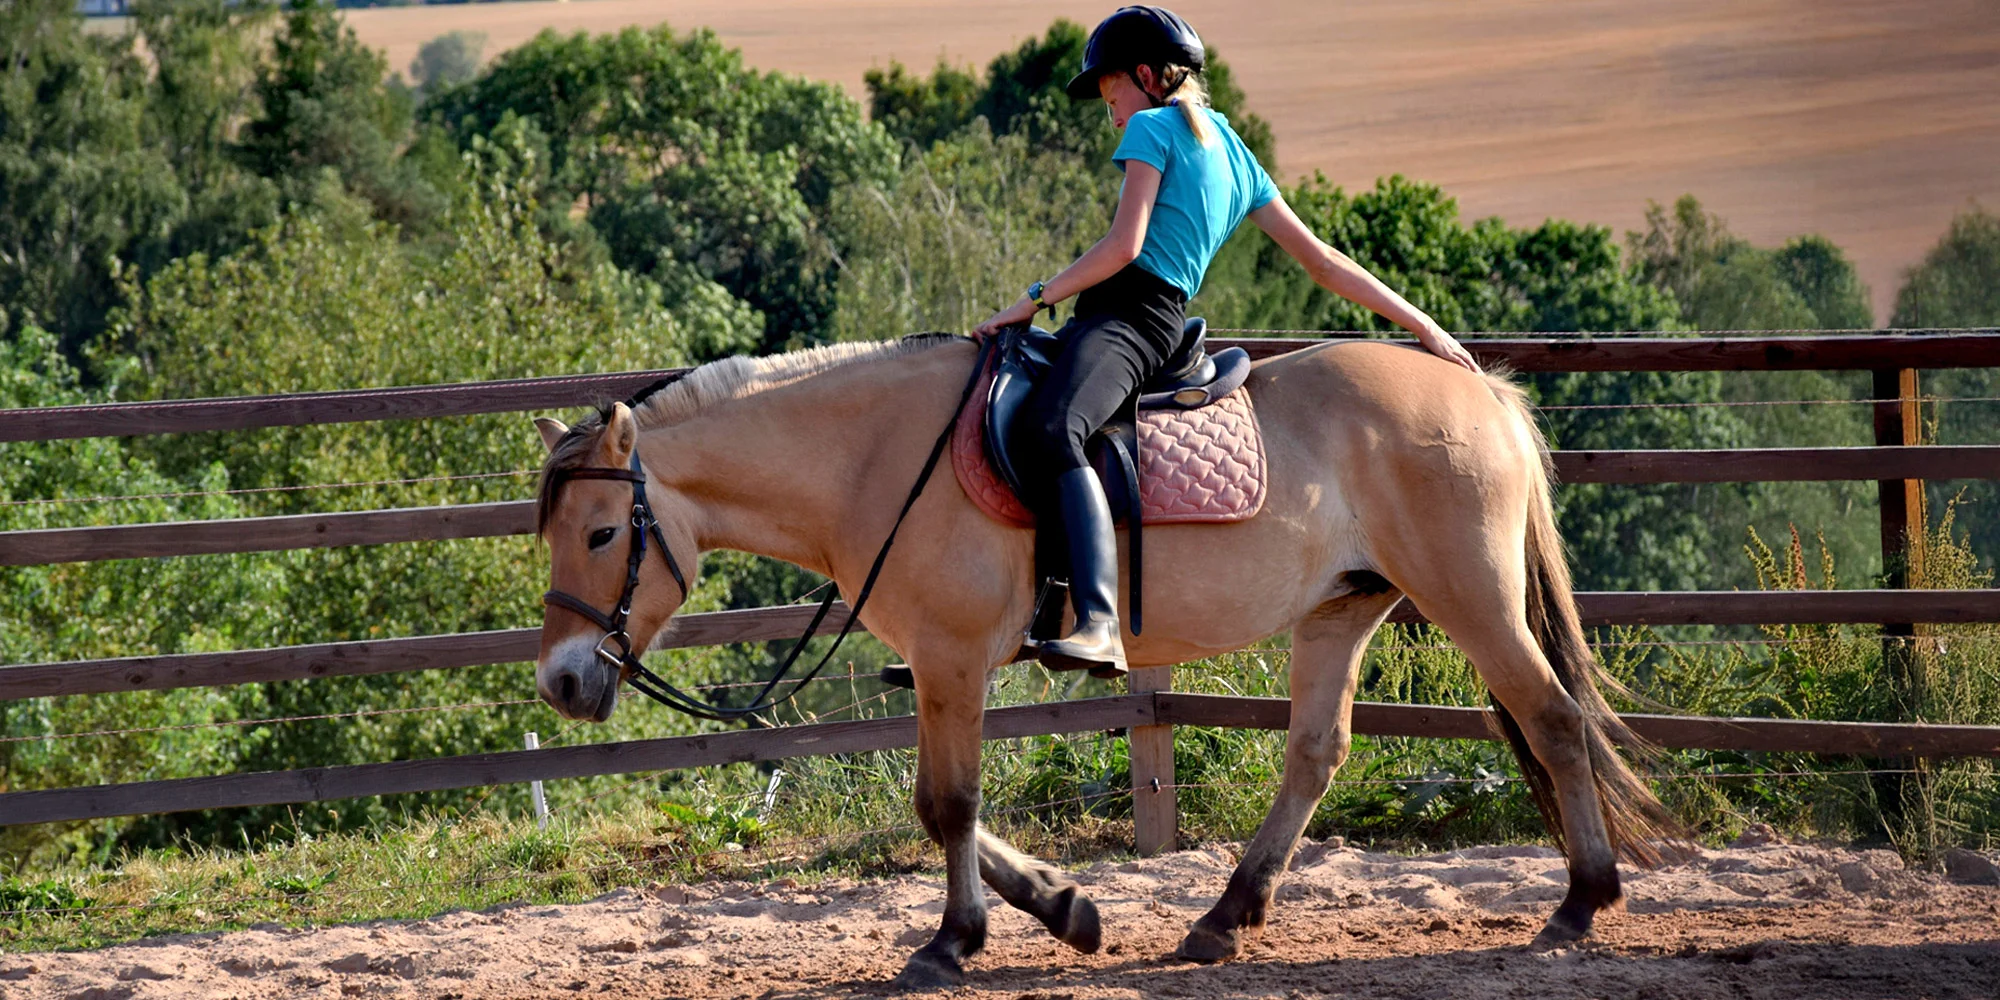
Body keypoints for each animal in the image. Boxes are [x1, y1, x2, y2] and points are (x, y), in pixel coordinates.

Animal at [528, 334, 1672, 984]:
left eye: (601, 533)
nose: (562, 681)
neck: (874, 458)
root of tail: (1478, 390)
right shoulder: (941, 669)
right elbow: (947, 809)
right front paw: (1062, 907)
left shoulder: (952, 660)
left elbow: (946, 805)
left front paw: (954, 940)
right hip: (1337, 614)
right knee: (1315, 754)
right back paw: (1225, 914)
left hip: (1469, 595)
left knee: (1552, 718)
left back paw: (1581, 899)